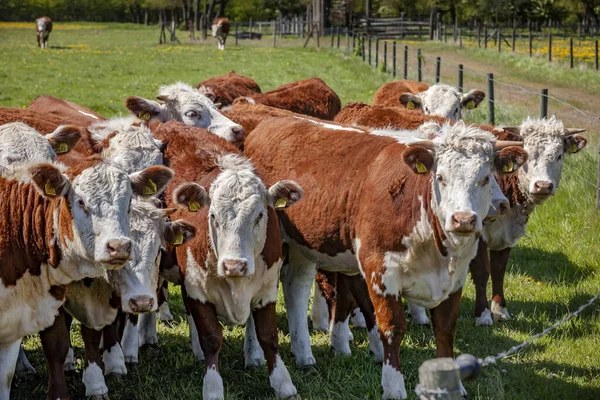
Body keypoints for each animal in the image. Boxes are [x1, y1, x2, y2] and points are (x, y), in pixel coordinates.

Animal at [152, 122, 302, 400]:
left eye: (259, 215)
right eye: (212, 216)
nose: (234, 265)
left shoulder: (267, 287)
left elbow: (268, 336)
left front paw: (283, 383)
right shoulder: (196, 290)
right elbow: (211, 338)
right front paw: (212, 387)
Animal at [244, 117, 524, 398]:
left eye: (485, 178)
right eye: (440, 177)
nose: (463, 219)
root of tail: (275, 121)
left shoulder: (454, 280)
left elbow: (445, 331)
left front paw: (450, 387)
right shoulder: (380, 270)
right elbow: (392, 329)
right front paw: (393, 386)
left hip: (302, 245)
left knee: (296, 288)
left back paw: (304, 355)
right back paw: (259, 356)